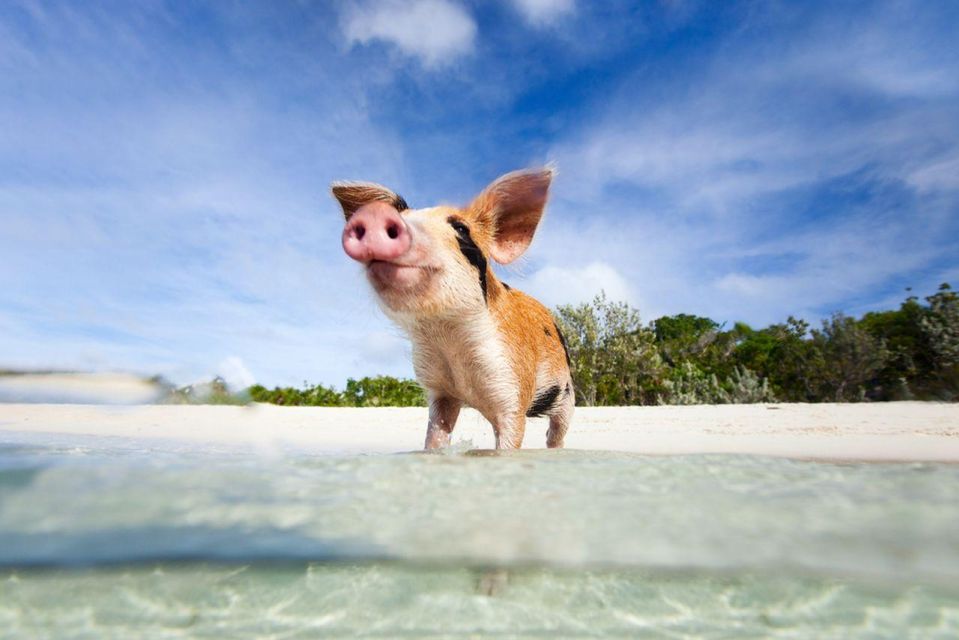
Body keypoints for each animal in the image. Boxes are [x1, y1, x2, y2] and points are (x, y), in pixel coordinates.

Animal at [334, 170, 572, 450]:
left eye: (461, 228)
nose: (374, 215)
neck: (449, 339)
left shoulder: (512, 385)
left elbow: (510, 436)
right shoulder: (440, 391)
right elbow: (436, 433)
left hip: (567, 390)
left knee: (556, 431)